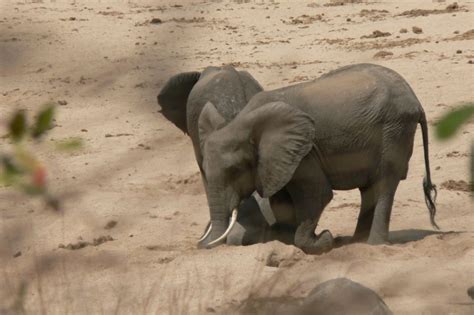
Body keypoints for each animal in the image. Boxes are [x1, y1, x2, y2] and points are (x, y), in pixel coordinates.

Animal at [196, 63, 436, 253]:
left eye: (235, 170)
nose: (201, 245)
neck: (243, 121)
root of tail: (415, 101)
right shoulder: (279, 160)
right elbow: (280, 202)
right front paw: (286, 241)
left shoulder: (305, 153)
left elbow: (318, 194)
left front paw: (324, 239)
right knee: (369, 189)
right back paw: (355, 242)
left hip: (394, 132)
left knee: (384, 183)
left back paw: (373, 245)